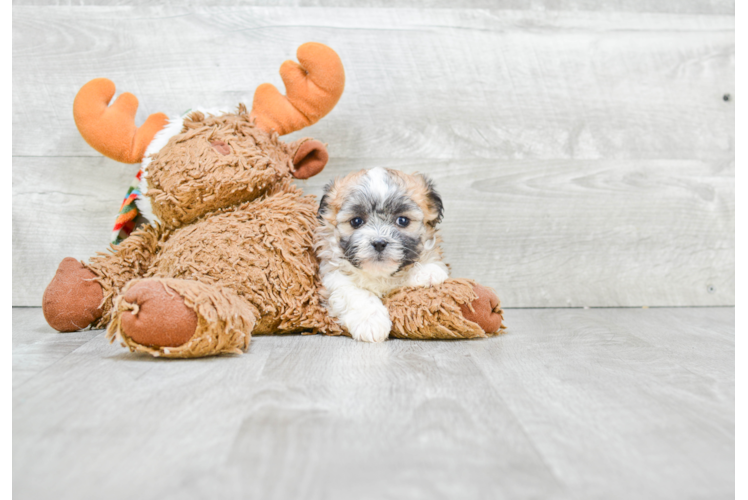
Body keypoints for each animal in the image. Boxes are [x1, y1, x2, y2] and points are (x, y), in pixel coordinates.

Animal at [314, 166, 448, 342]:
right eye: (356, 221)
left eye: (402, 221)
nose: (379, 243)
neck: (380, 275)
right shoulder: (334, 279)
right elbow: (356, 293)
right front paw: (371, 322)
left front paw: (428, 271)